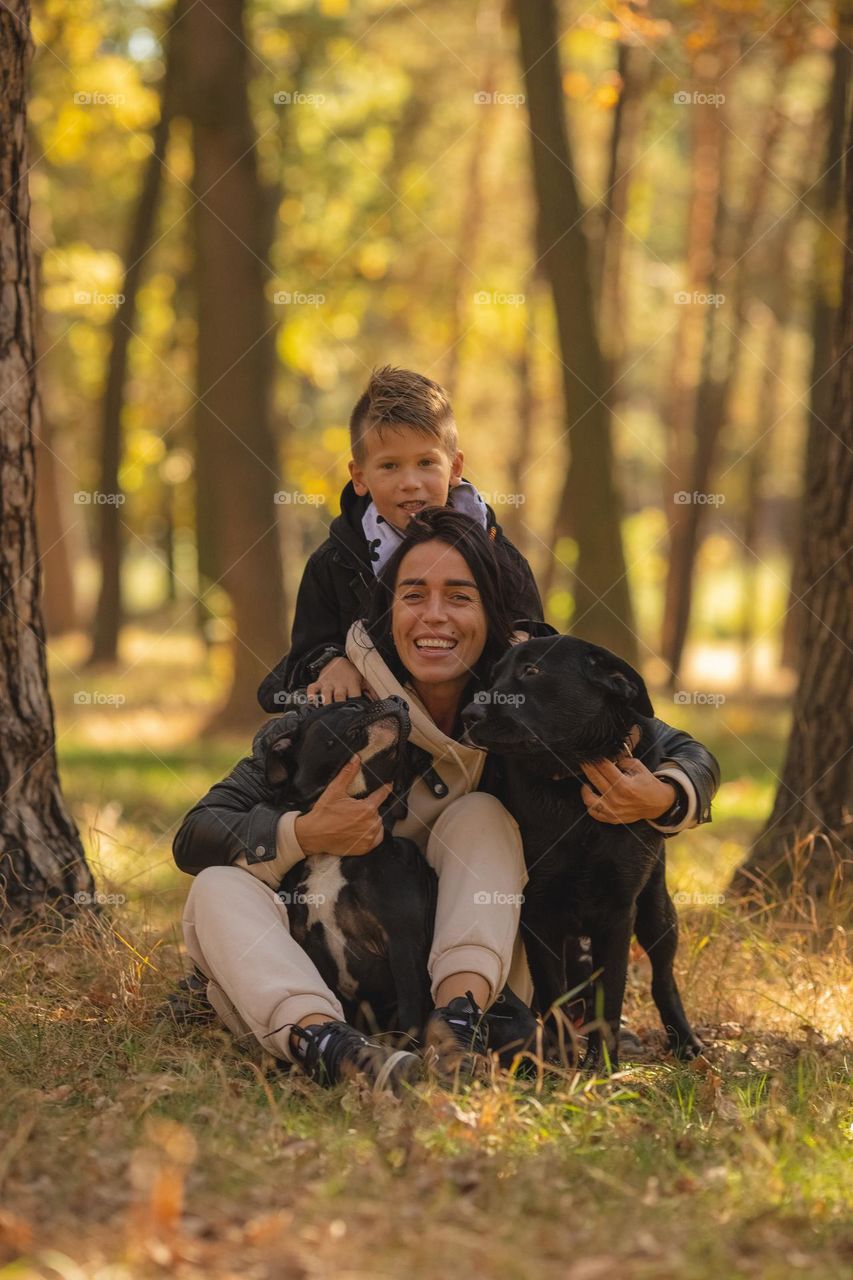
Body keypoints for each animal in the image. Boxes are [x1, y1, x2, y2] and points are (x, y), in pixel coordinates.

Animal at [251, 691, 435, 1039]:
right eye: (350, 704)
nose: (399, 700)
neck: (334, 854)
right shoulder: (304, 941)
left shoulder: (403, 943)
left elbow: (411, 1015)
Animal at [461, 637, 701, 1070]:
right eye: (493, 674)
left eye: (532, 670)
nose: (468, 714)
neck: (571, 782)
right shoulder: (538, 911)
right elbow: (554, 993)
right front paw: (563, 1062)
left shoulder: (618, 911)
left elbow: (611, 993)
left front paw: (602, 1065)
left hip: (656, 910)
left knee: (662, 978)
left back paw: (684, 1040)